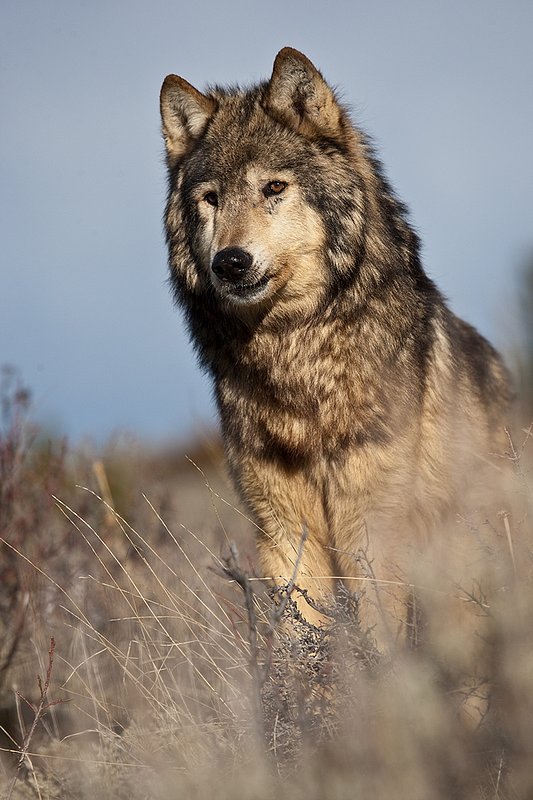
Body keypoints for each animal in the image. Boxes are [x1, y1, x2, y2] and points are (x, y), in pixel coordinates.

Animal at [160, 48, 512, 646]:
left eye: (274, 188)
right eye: (210, 200)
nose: (229, 262)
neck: (297, 359)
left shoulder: (370, 524)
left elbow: (379, 636)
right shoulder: (279, 526)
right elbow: (297, 635)